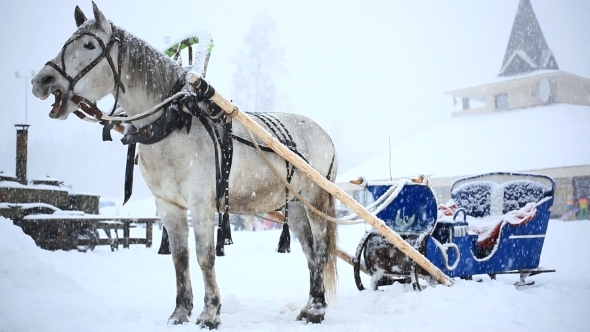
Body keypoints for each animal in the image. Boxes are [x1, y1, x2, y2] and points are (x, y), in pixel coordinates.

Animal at [31, 3, 338, 330]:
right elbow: (179, 257)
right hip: (294, 205)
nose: (41, 82)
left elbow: (205, 256)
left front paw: (210, 313)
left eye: (89, 45)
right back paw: (311, 304)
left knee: (321, 249)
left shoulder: (201, 202)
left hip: (317, 198)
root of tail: (325, 135)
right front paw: (180, 311)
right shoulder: (167, 204)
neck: (172, 123)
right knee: (309, 252)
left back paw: (316, 309)